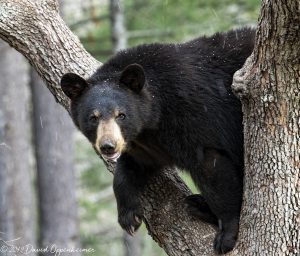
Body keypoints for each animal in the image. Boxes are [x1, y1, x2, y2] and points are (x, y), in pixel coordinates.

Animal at [61, 28, 255, 254]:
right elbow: (132, 166)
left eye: (121, 115)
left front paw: (227, 235)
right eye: (93, 117)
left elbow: (213, 169)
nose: (108, 146)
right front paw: (129, 216)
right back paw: (197, 204)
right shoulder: (148, 142)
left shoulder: (197, 116)